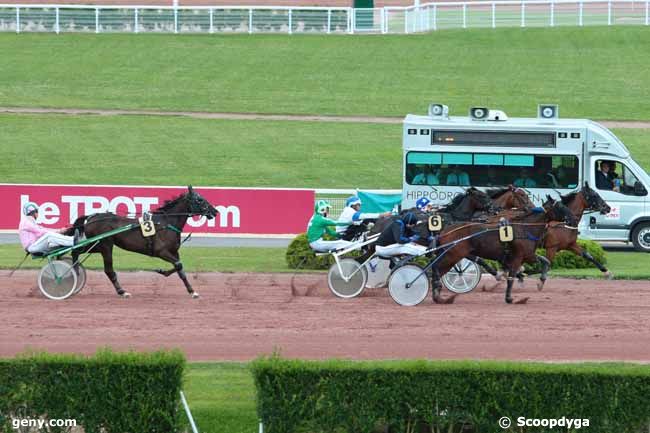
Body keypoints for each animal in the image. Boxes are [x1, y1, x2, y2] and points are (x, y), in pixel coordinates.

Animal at [65, 184, 218, 298]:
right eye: (200, 200)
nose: (215, 211)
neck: (166, 222)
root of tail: (92, 217)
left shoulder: (174, 251)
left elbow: (179, 267)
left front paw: (190, 290)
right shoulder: (161, 251)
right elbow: (178, 265)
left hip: (98, 245)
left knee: (76, 250)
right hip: (105, 246)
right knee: (107, 269)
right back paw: (121, 291)